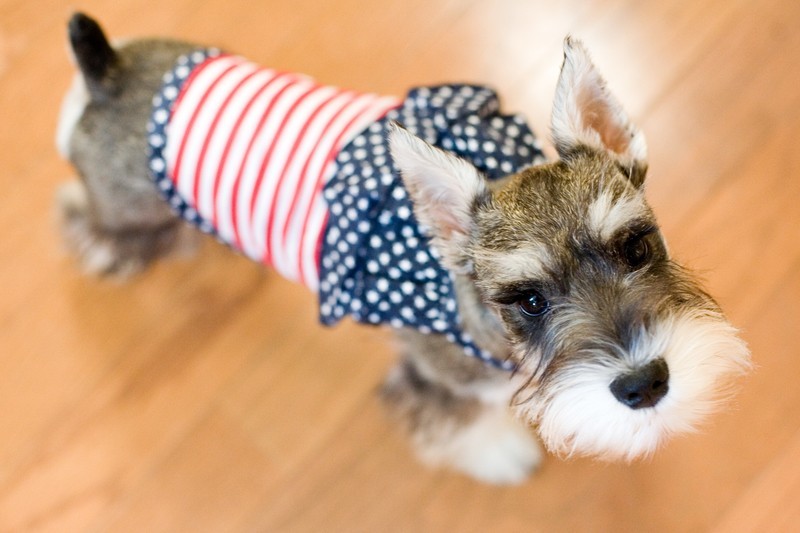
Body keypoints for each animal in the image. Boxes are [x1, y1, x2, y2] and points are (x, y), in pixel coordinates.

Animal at [56, 14, 752, 484]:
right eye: (527, 300)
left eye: (635, 246)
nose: (643, 385)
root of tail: (107, 71)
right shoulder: (437, 376)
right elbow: (460, 420)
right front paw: (499, 454)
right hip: (125, 207)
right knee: (85, 215)